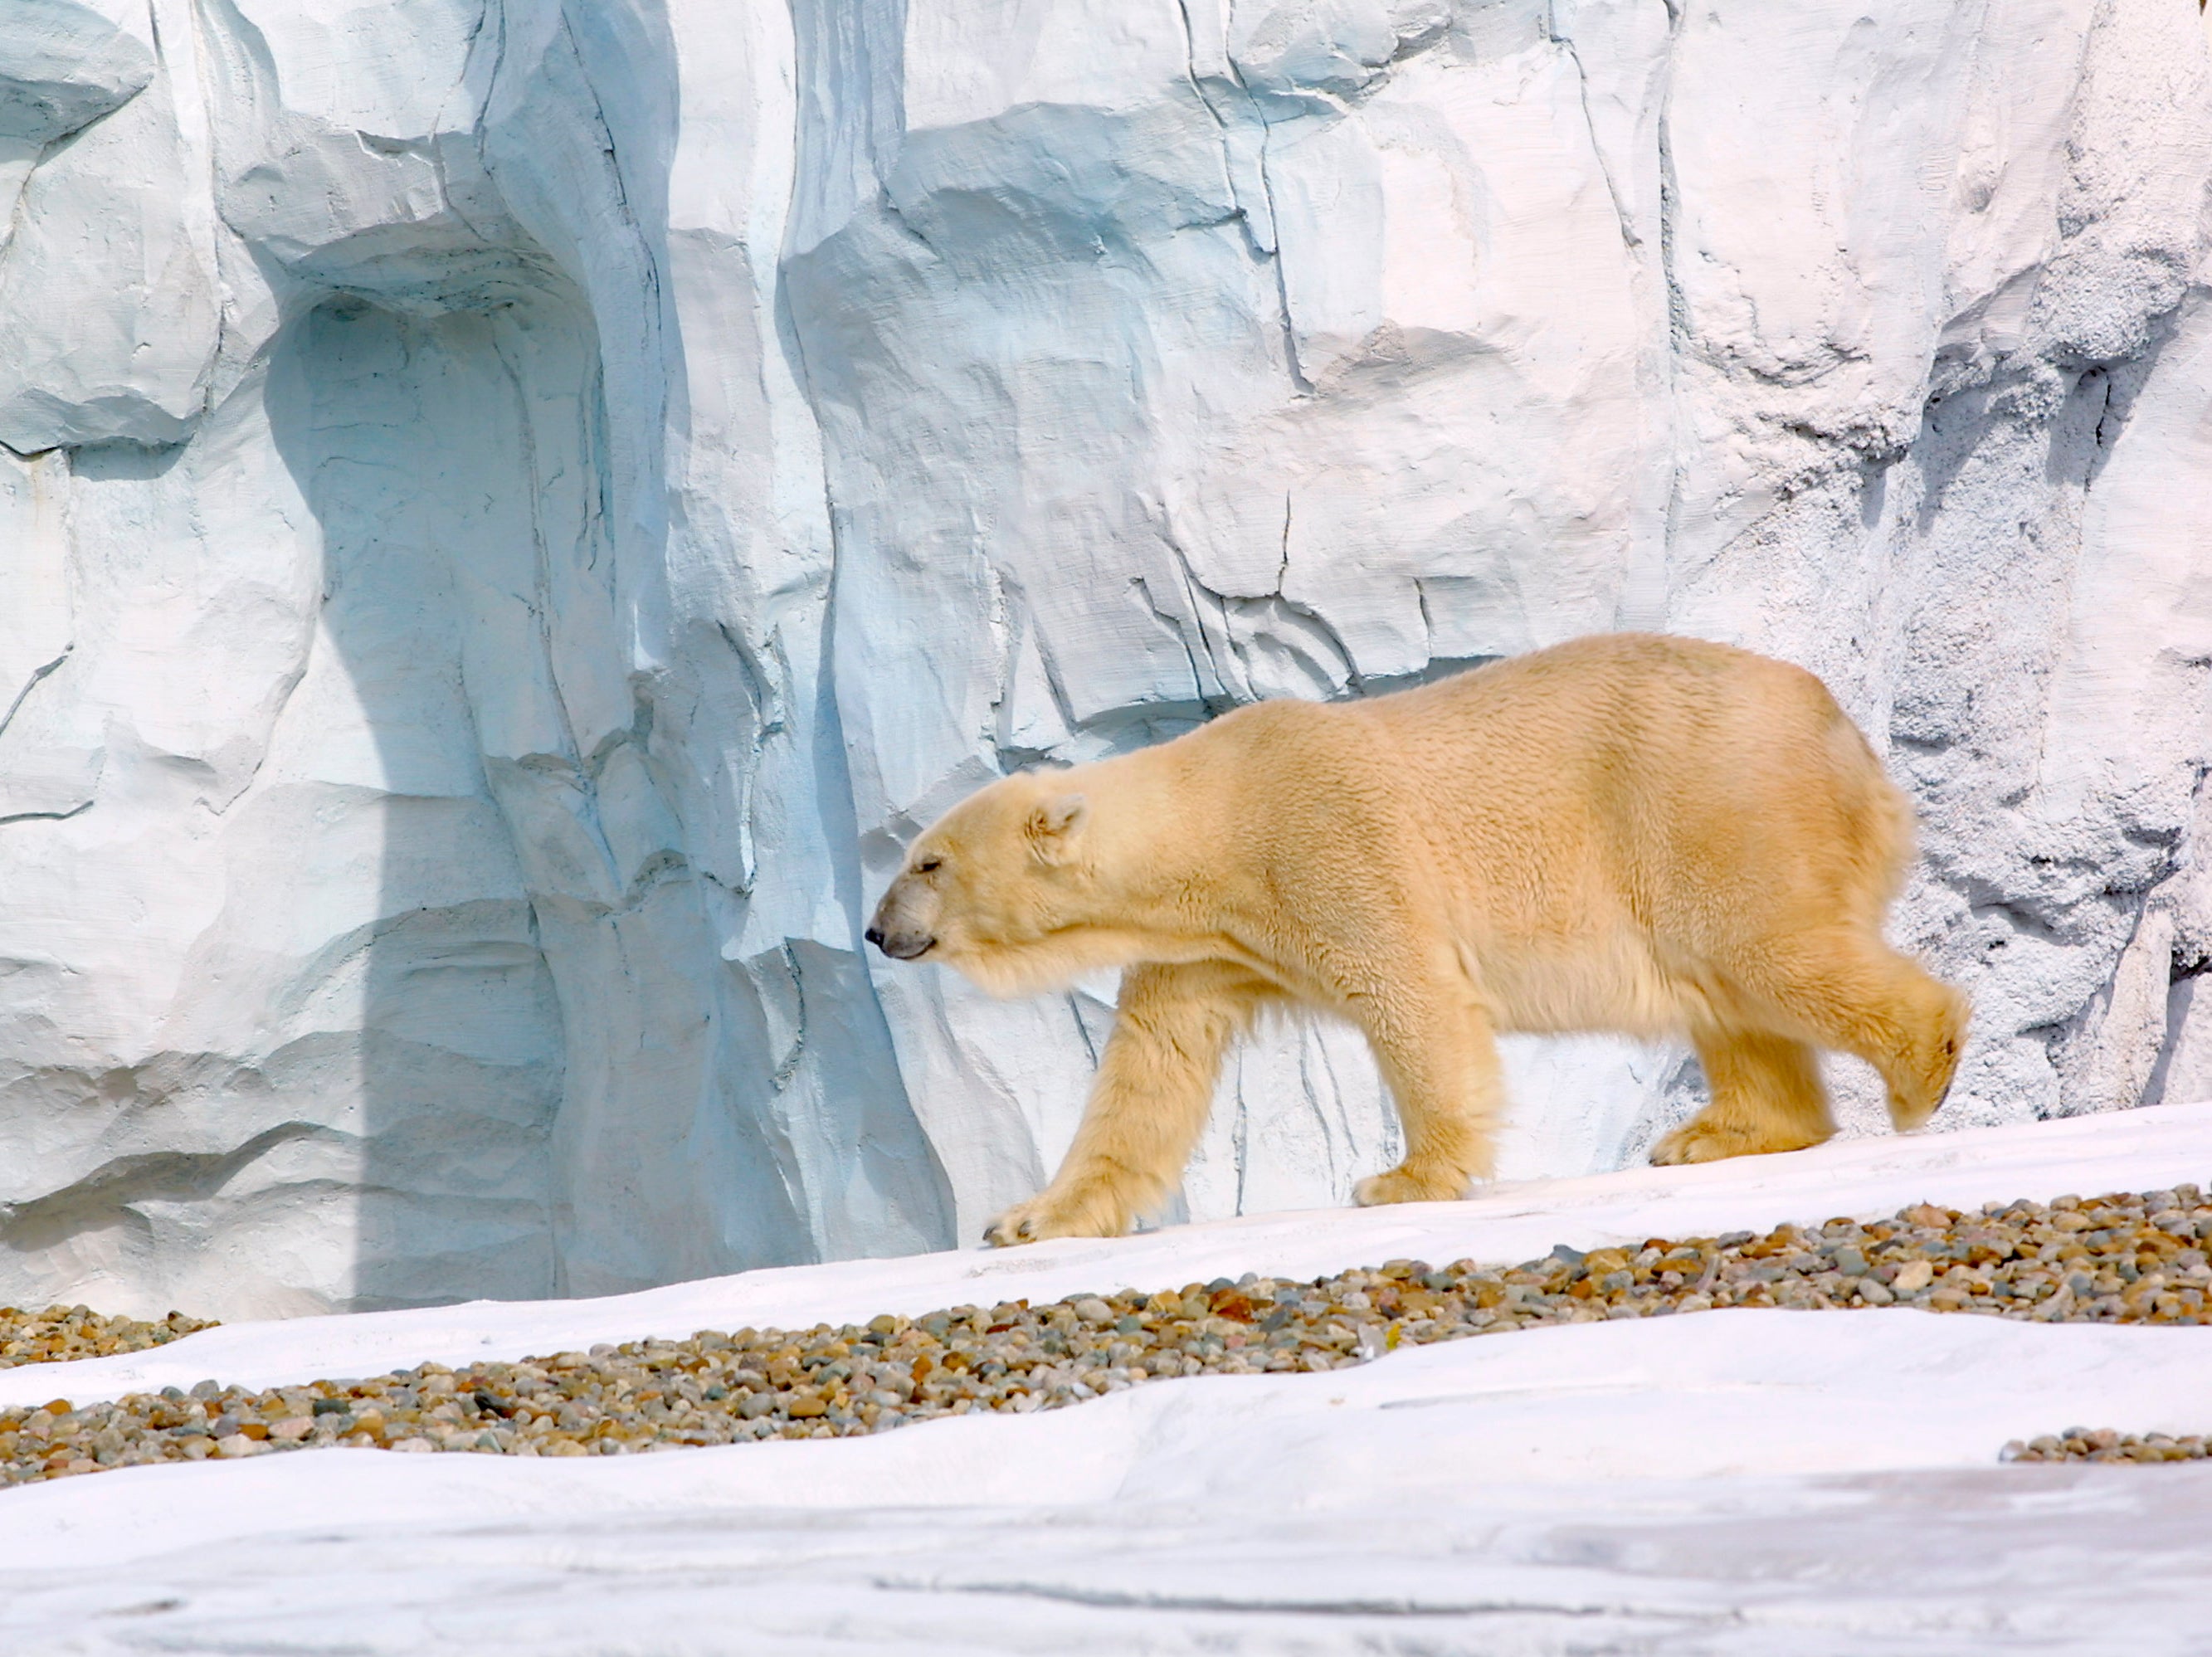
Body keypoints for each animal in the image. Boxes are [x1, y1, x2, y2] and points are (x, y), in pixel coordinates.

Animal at [865, 631, 1969, 1247]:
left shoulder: (1326, 845)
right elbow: (1149, 1075)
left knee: (1757, 945)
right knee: (1724, 990)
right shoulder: (1201, 949)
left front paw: (1402, 1177)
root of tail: (1845, 734)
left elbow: (1410, 997)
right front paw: (1023, 1217)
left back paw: (1921, 1065)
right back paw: (1716, 1131)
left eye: (927, 860)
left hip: (1707, 795)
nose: (875, 931)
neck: (1216, 815)